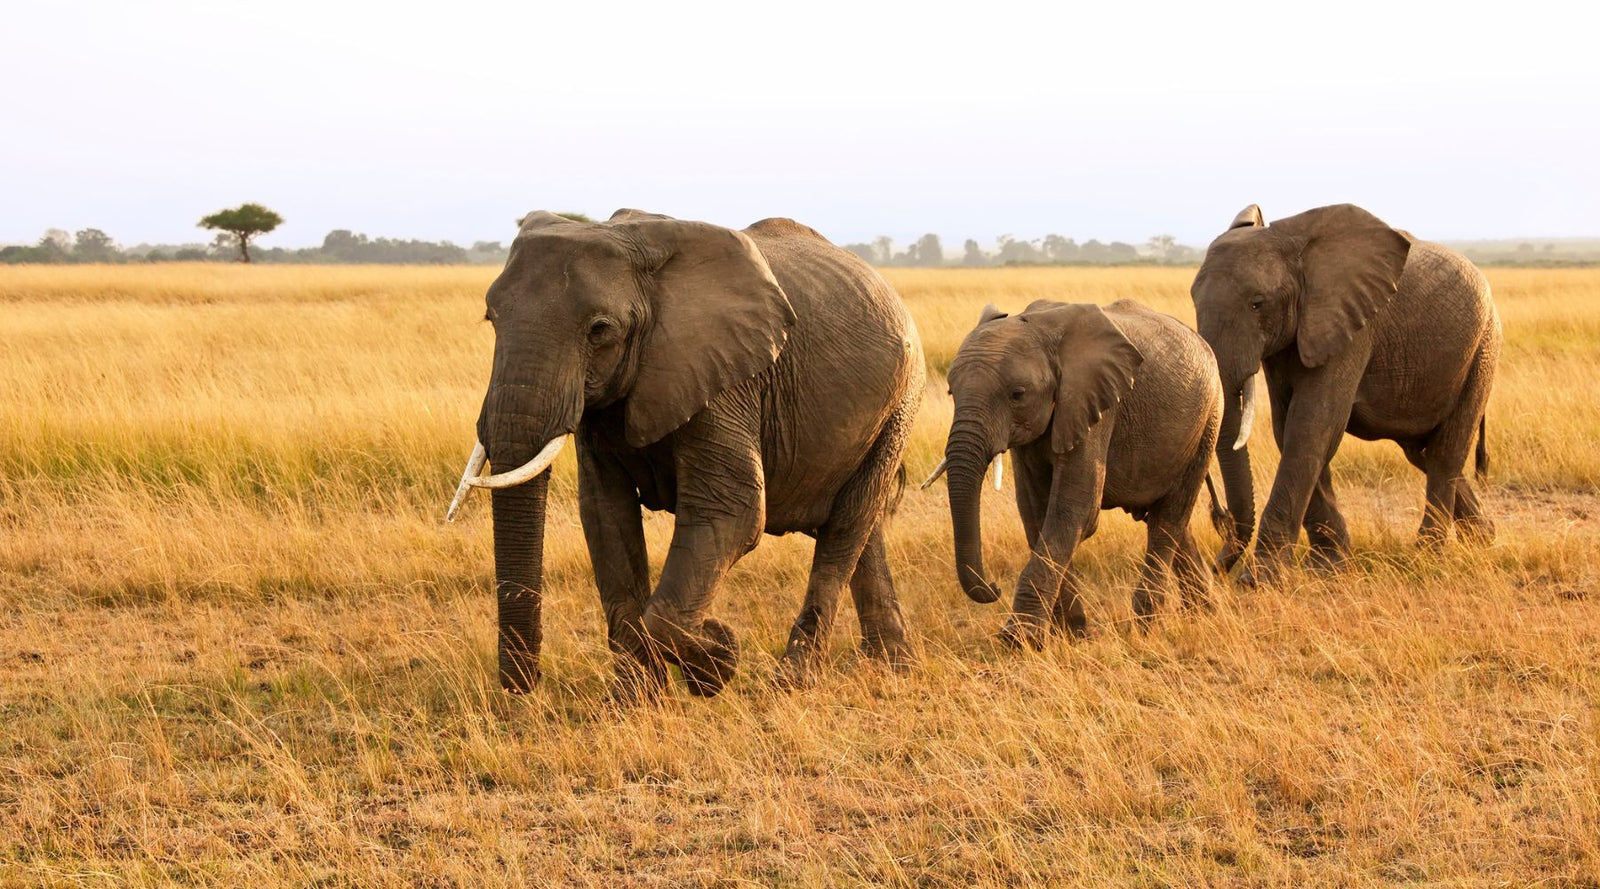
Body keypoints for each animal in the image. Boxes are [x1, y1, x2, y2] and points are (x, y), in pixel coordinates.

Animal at [444, 209, 924, 696]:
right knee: (862, 532)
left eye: (600, 330)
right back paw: (893, 667)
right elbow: (605, 514)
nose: (523, 687)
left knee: (847, 527)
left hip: (900, 404)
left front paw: (717, 659)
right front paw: (634, 700)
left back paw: (793, 681)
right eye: (491, 318)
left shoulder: (724, 377)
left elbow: (732, 513)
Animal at [928, 299, 1227, 646]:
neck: (1042, 328)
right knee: (1169, 520)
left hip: (1208, 419)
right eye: (951, 392)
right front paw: (1073, 634)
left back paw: (1144, 626)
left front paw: (1018, 640)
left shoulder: (1096, 405)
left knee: (1169, 518)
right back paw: (1206, 613)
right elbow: (1035, 512)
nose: (994, 587)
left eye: (1018, 394)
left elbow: (1074, 511)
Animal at [1191, 203, 1501, 584]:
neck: (1294, 247)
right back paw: (1484, 539)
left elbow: (1311, 426)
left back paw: (1429, 554)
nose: (1218, 566)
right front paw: (1328, 565)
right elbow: (1288, 428)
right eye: (1193, 299)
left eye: (1257, 304)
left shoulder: (1352, 328)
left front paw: (1259, 580)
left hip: (1482, 349)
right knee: (1422, 452)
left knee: (1446, 452)